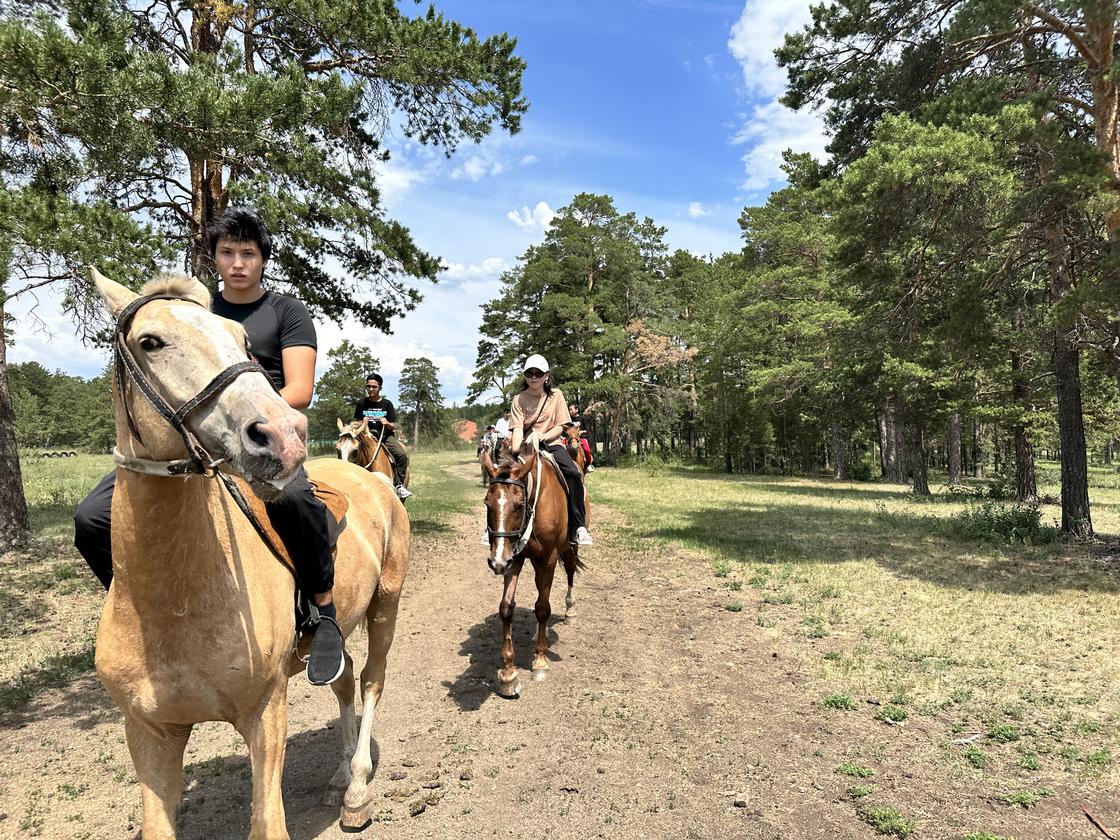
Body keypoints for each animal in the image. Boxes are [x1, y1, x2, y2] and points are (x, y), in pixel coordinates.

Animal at [88, 271, 412, 840]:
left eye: (242, 342)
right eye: (150, 342)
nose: (282, 435)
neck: (174, 602)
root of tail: (373, 480)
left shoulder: (266, 713)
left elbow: (267, 822)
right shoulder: (149, 731)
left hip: (385, 606)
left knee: (371, 680)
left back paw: (355, 787)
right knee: (345, 676)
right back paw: (337, 775)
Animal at [481, 436, 586, 698]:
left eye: (519, 505)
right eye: (487, 503)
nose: (496, 562)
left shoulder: (548, 558)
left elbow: (542, 608)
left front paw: (540, 661)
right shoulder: (513, 558)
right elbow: (506, 608)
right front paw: (508, 675)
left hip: (568, 548)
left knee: (570, 572)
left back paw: (570, 610)